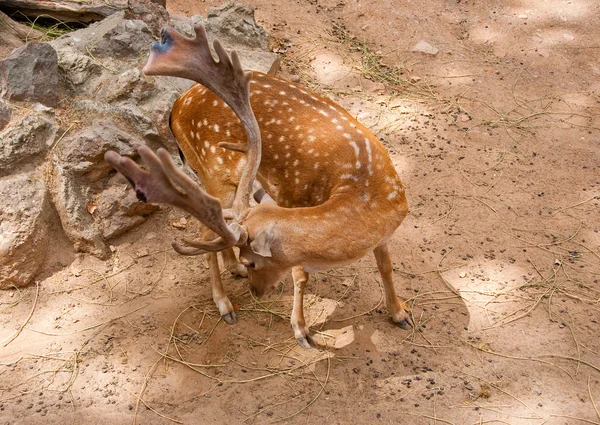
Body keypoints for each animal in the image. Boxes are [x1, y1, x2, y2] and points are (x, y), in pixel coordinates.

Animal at [104, 24, 412, 348]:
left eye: (252, 261)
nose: (256, 292)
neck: (366, 189)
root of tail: (175, 108)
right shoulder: (295, 203)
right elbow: (301, 275)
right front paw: (301, 330)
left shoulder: (384, 232)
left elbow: (386, 265)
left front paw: (400, 313)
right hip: (213, 169)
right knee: (205, 231)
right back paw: (224, 304)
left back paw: (233, 271)